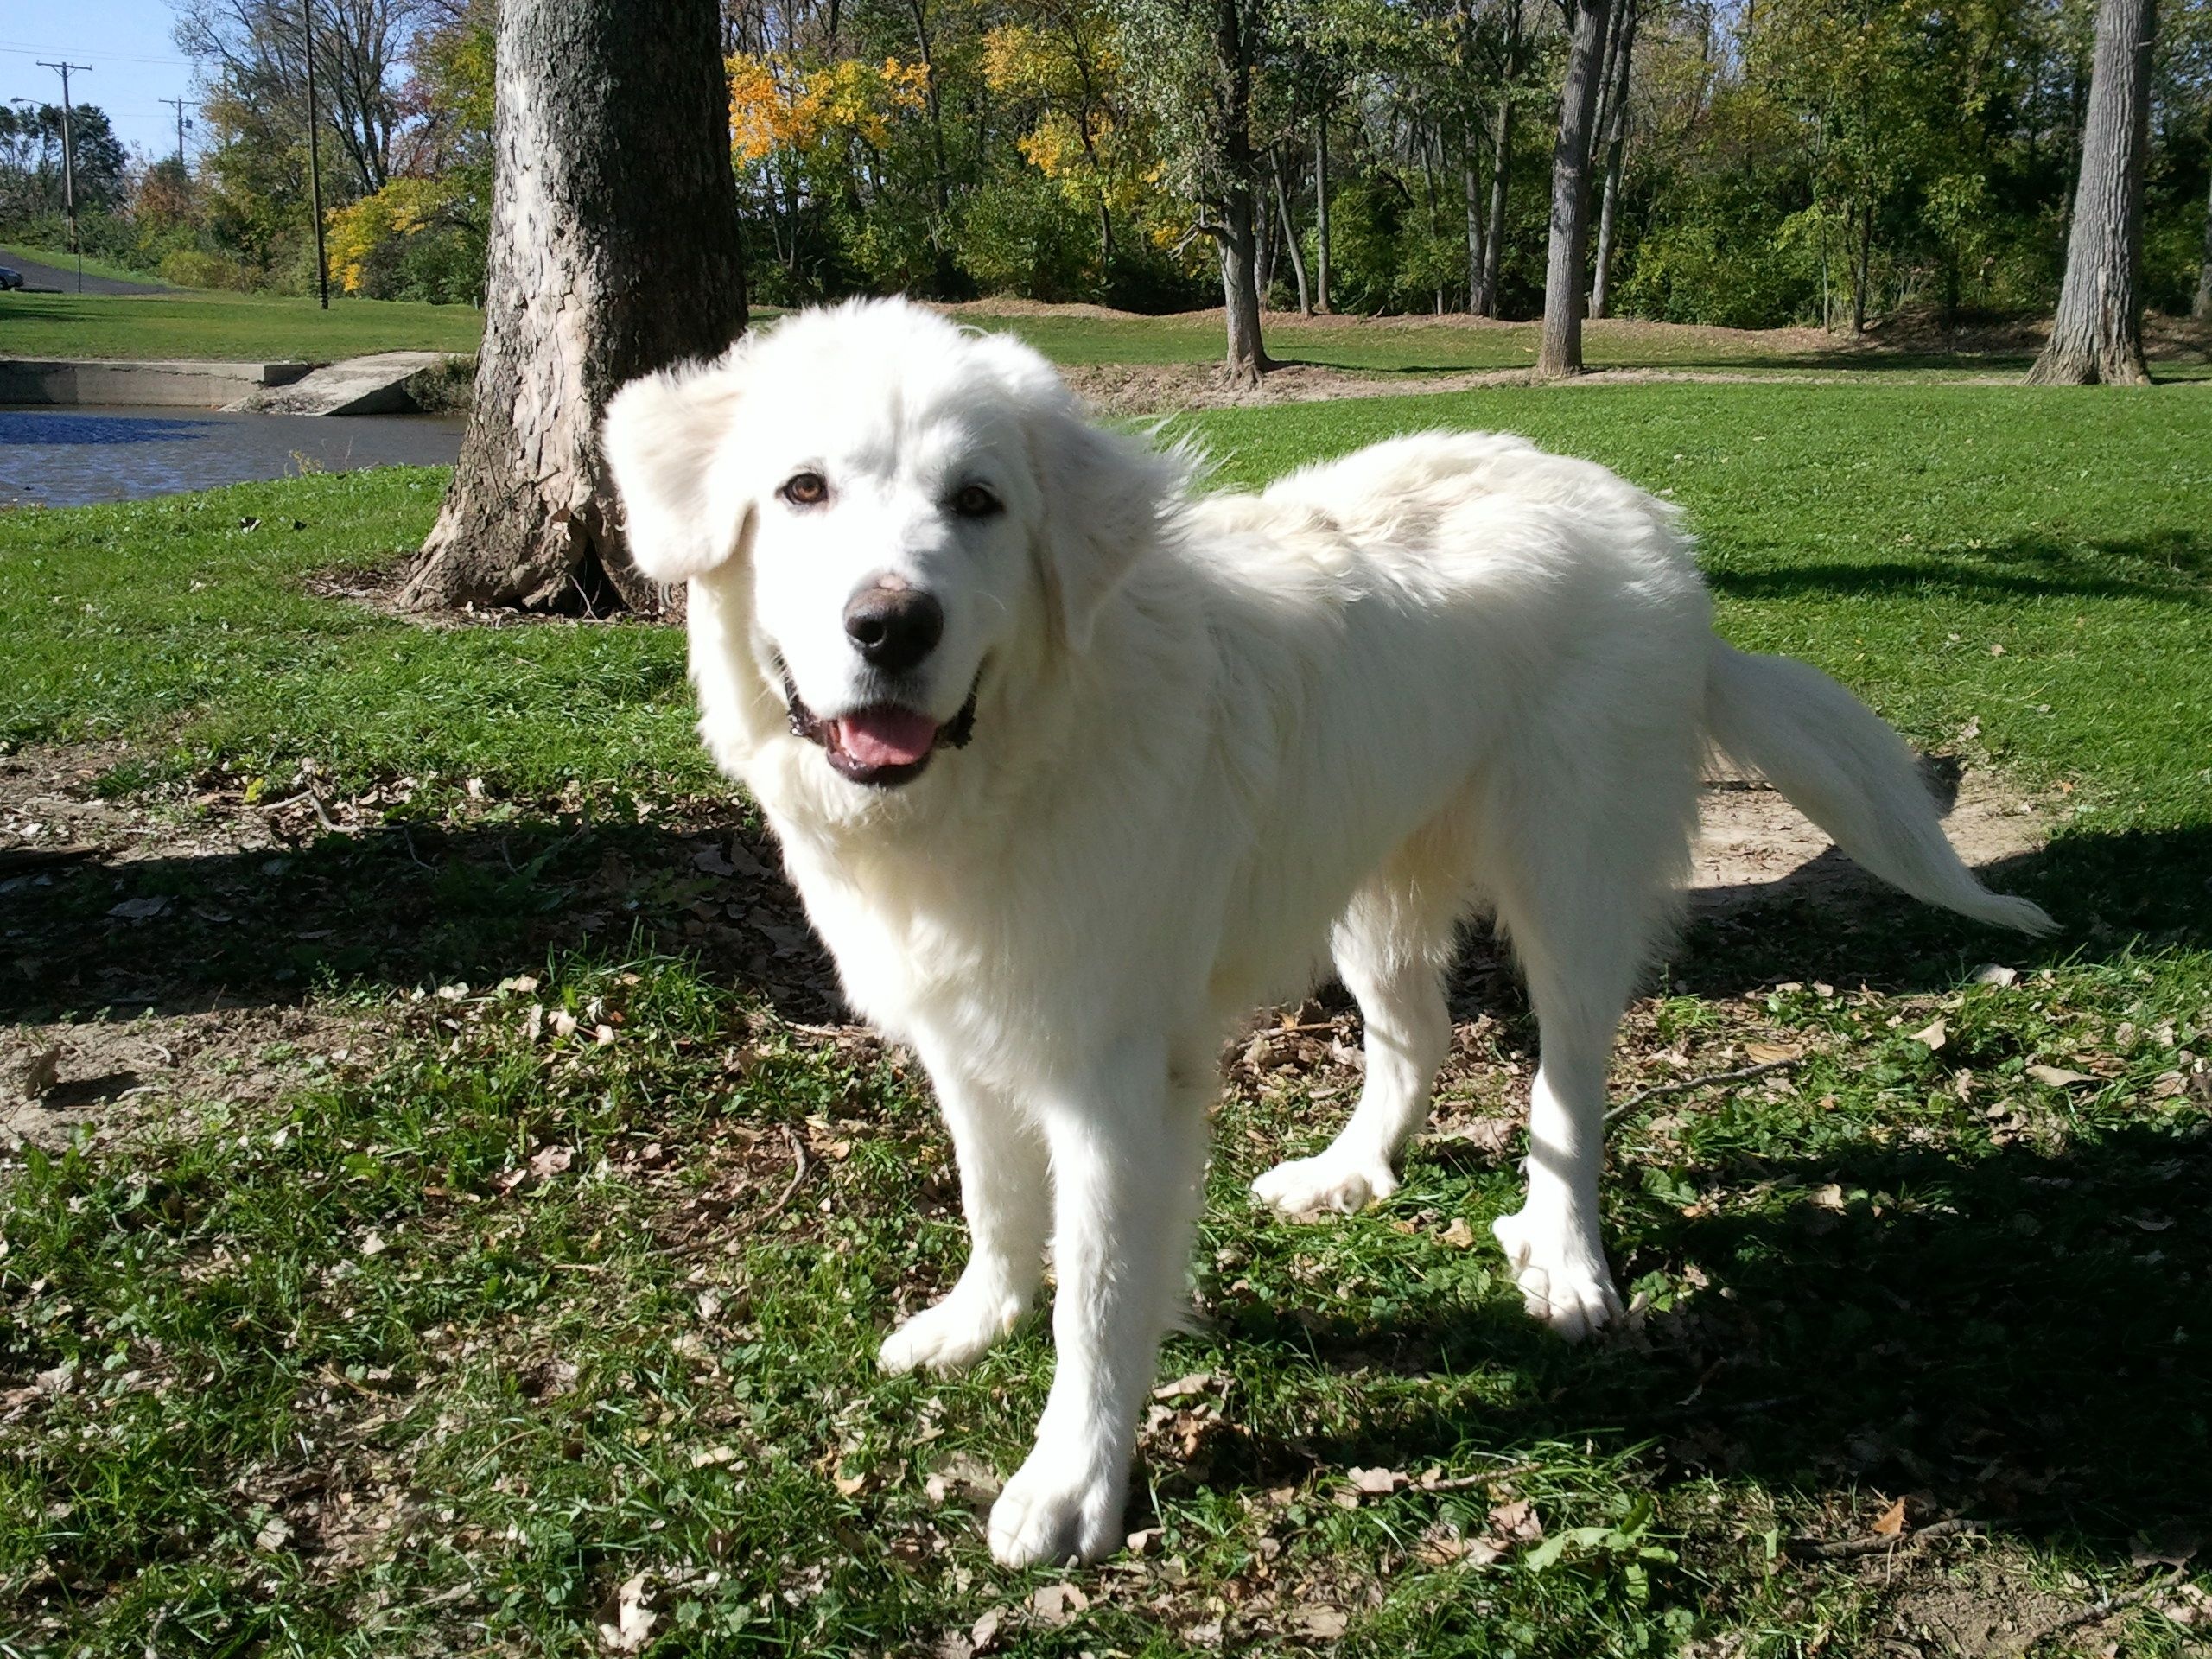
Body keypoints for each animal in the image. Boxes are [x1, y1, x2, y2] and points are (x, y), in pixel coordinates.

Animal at [597, 298, 2044, 1574]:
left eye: (979, 505)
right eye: (803, 492)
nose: (893, 625)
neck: (1017, 759)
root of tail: (1652, 531)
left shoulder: (1117, 1087)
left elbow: (1097, 1299)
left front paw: (1070, 1485)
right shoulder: (973, 1033)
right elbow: (996, 1203)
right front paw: (972, 1323)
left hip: (1567, 884)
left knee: (1570, 1087)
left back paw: (1565, 1258)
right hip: (1370, 891)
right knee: (1421, 1037)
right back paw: (1347, 1176)